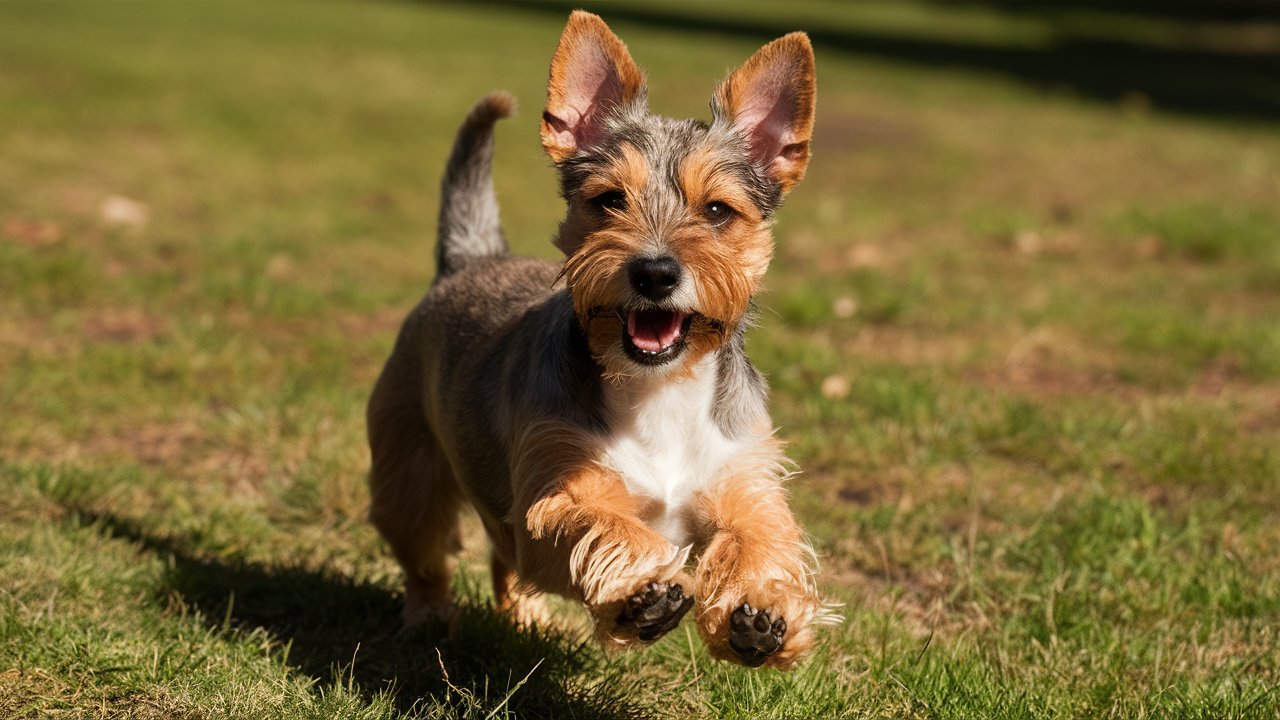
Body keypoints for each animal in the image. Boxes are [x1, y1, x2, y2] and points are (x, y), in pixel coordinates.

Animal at [366, 9, 834, 666]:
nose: (655, 272)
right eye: (610, 200)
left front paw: (762, 606)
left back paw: (528, 621)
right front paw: (643, 589)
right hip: (408, 468)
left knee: (504, 568)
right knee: (430, 556)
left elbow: (761, 535)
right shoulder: (553, 488)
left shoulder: (744, 478)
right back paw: (429, 617)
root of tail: (472, 255)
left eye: (718, 211)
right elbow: (599, 522)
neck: (659, 389)